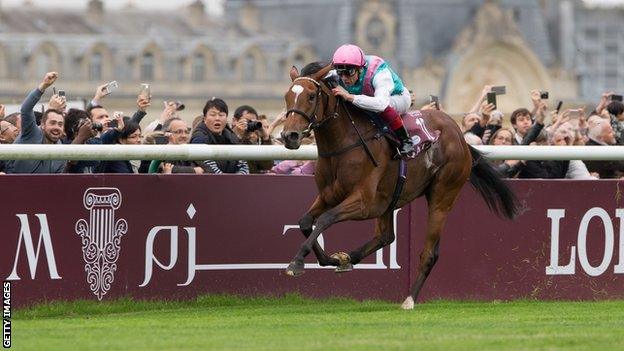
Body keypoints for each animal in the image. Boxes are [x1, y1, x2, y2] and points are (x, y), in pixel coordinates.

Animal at [282, 62, 516, 310]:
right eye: (287, 96)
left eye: (311, 96)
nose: (290, 136)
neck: (344, 145)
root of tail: (460, 137)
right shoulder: (329, 196)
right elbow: (305, 222)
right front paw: (332, 258)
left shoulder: (365, 203)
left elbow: (326, 219)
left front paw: (296, 263)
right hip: (390, 198)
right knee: (386, 236)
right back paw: (349, 258)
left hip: (442, 196)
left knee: (429, 252)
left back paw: (409, 298)